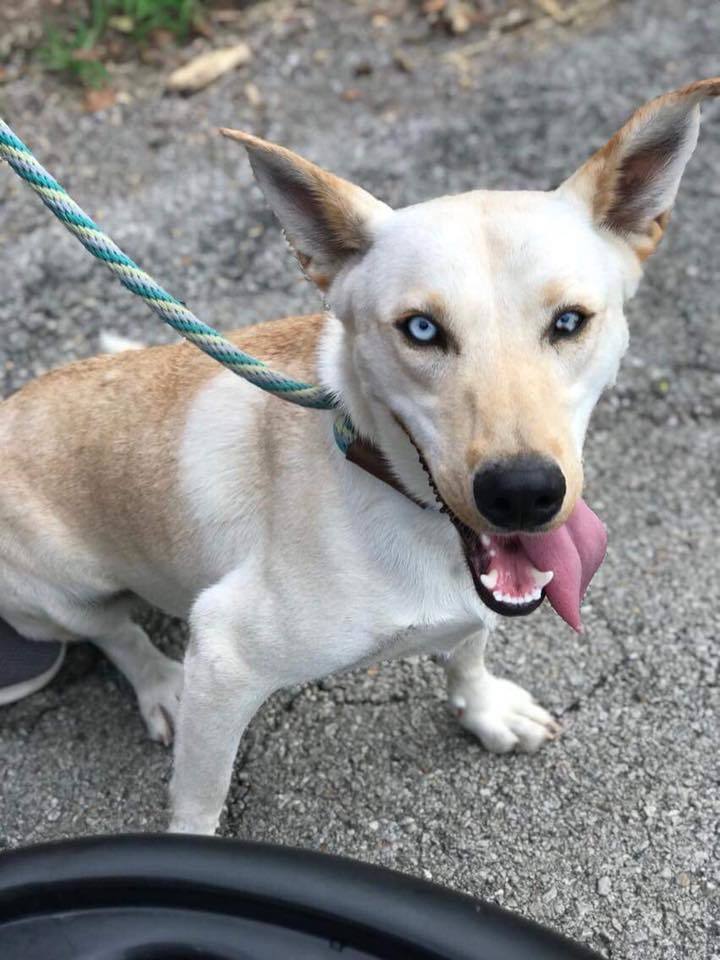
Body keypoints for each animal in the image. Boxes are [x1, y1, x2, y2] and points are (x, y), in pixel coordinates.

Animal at [2, 79, 716, 836]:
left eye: (570, 321)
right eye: (422, 330)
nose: (522, 493)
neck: (403, 502)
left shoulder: (476, 600)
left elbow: (468, 651)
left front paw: (485, 709)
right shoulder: (225, 658)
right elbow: (200, 797)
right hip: (52, 596)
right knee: (115, 632)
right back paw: (161, 683)